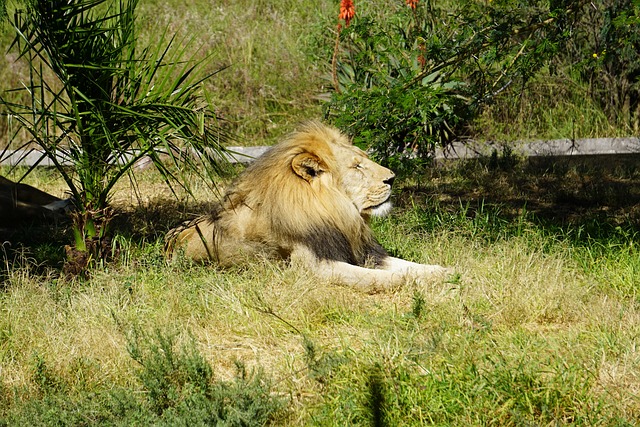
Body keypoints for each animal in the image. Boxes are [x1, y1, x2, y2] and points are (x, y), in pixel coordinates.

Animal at [166, 122, 450, 292]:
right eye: (356, 166)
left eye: (364, 160)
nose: (392, 178)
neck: (338, 213)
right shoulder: (315, 267)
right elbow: (373, 277)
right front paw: (412, 281)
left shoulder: (362, 252)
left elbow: (407, 263)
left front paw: (444, 272)